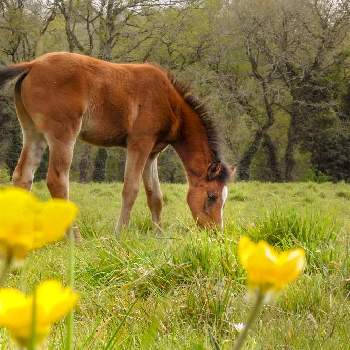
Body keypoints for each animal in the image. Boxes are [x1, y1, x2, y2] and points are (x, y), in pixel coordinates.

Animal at [0, 52, 232, 232]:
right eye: (212, 196)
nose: (215, 232)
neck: (169, 102)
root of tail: (32, 65)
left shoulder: (152, 153)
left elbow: (155, 196)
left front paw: (159, 236)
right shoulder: (139, 144)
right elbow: (131, 189)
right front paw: (119, 233)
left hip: (33, 133)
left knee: (22, 177)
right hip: (63, 135)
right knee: (57, 181)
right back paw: (75, 237)